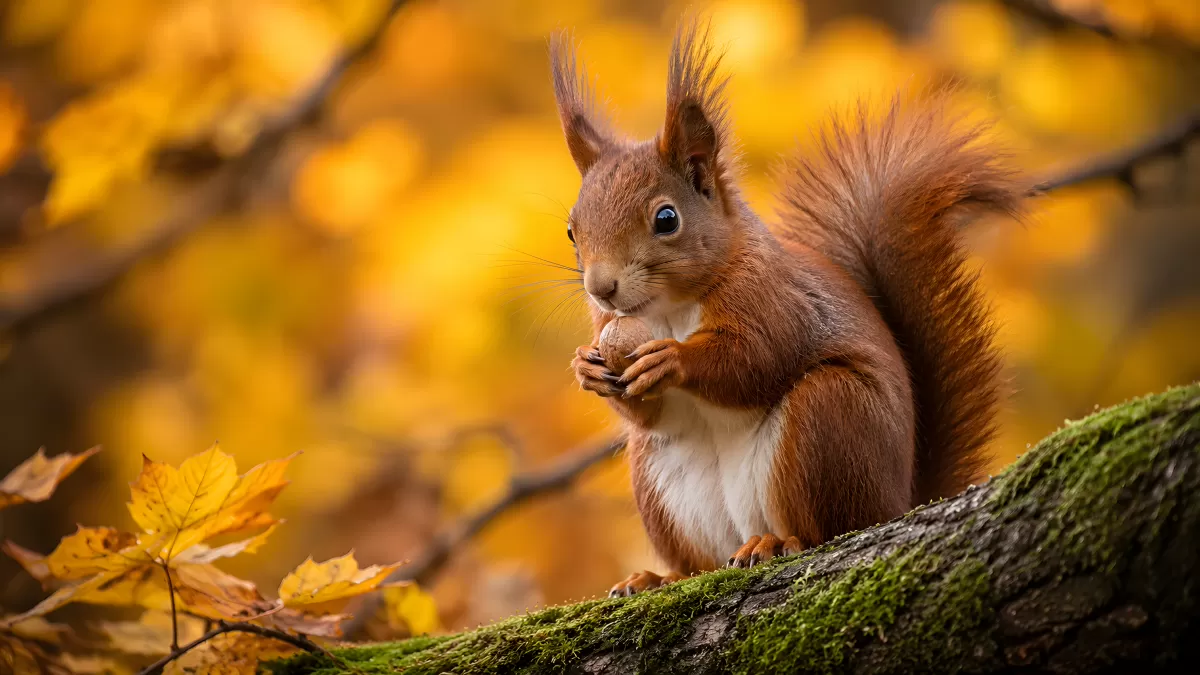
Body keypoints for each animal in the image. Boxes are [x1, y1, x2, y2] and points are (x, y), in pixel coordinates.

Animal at [551, 20, 1023, 597]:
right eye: (571, 231)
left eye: (666, 219)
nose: (601, 288)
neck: (667, 309)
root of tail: (899, 501)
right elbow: (647, 410)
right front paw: (586, 368)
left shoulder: (774, 297)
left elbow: (757, 357)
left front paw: (673, 360)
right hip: (659, 475)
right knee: (699, 561)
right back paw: (659, 577)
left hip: (830, 420)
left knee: (828, 528)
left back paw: (779, 543)